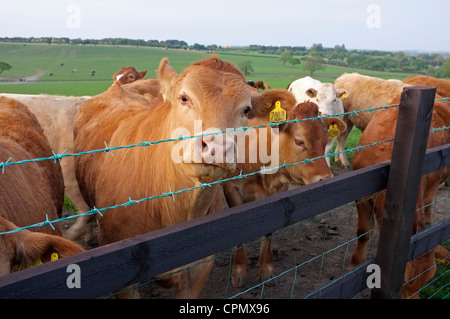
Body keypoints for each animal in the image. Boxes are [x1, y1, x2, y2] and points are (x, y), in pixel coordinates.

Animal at [223, 89, 346, 288]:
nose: (325, 179)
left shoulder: (279, 191)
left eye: (326, 140)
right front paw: (239, 271)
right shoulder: (231, 190)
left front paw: (267, 270)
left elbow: (269, 231)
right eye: (299, 141)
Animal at [350, 93, 448, 300]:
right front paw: (354, 266)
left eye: (428, 280)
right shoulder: (362, 199)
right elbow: (363, 234)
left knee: (428, 204)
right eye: (402, 283)